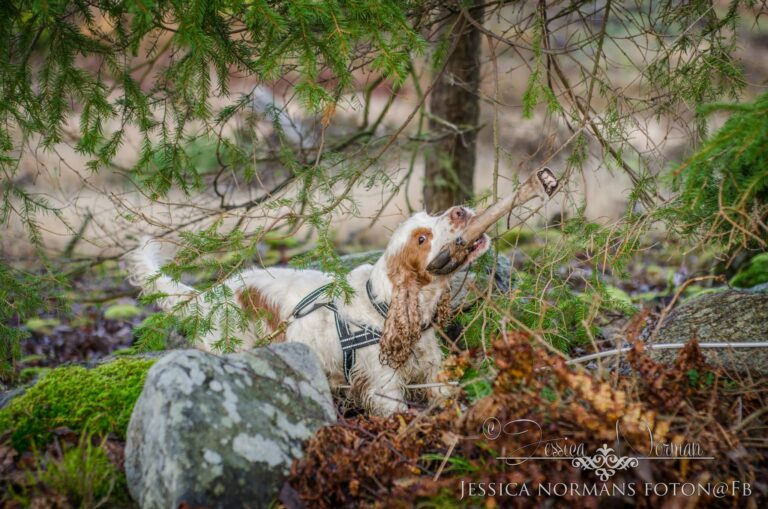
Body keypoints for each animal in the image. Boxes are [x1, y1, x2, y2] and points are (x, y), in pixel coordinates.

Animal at [128, 207, 488, 416]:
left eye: (432, 213)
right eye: (422, 239)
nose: (459, 210)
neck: (383, 306)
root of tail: (211, 294)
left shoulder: (431, 367)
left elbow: (445, 393)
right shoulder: (384, 384)